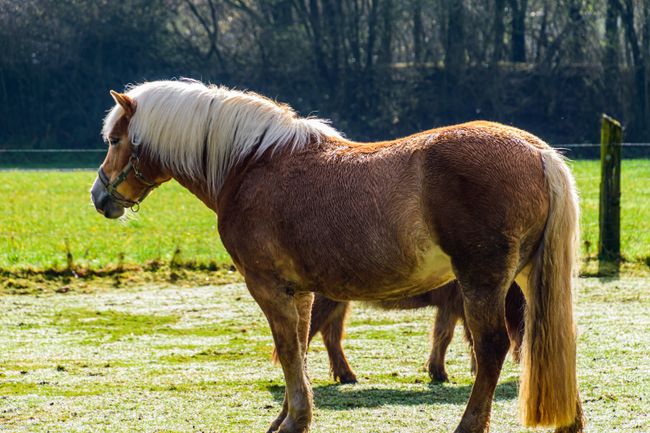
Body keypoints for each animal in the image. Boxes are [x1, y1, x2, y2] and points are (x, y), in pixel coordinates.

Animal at [304, 280, 526, 384]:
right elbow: (470, 338)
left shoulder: (449, 306)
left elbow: (442, 335)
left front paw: (438, 372)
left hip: (339, 303)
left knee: (331, 336)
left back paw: (347, 375)